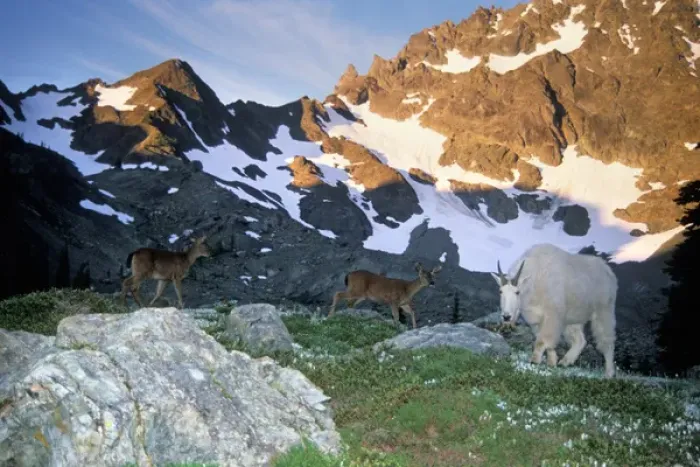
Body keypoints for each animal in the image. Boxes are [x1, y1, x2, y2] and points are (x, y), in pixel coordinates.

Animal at [491, 243, 618, 378]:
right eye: (500, 291)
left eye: (517, 292)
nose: (506, 317)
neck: (534, 280)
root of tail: (609, 272)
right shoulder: (537, 321)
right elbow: (546, 342)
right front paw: (552, 363)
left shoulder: (552, 315)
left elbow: (541, 341)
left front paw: (535, 361)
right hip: (573, 318)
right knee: (580, 340)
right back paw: (565, 361)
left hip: (604, 310)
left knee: (607, 340)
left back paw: (609, 373)